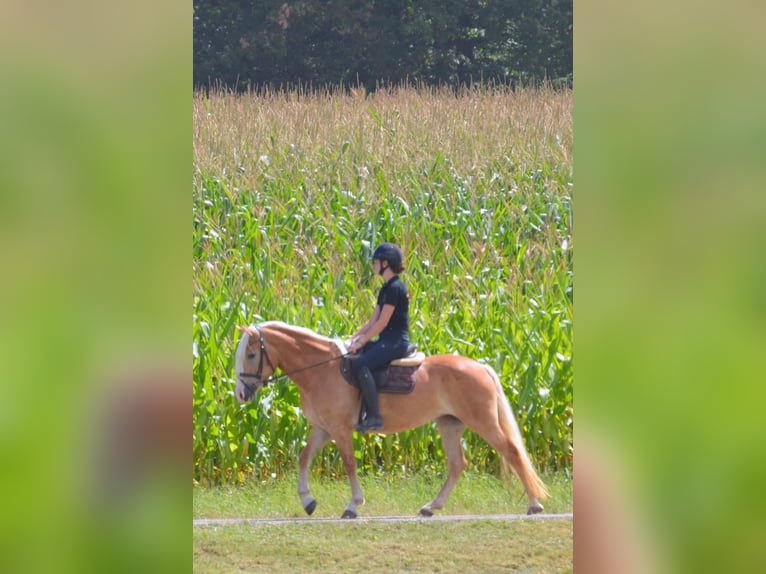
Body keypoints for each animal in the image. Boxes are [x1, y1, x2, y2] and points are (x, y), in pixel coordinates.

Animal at [232, 322, 544, 520]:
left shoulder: (339, 429)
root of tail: (479, 366)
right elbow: (304, 457)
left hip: (482, 421)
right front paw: (308, 501)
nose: (241, 394)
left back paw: (534, 504)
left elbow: (349, 463)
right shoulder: (323, 428)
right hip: (449, 423)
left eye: (251, 354)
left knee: (512, 452)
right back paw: (431, 506)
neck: (321, 370)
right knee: (457, 464)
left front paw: (353, 506)